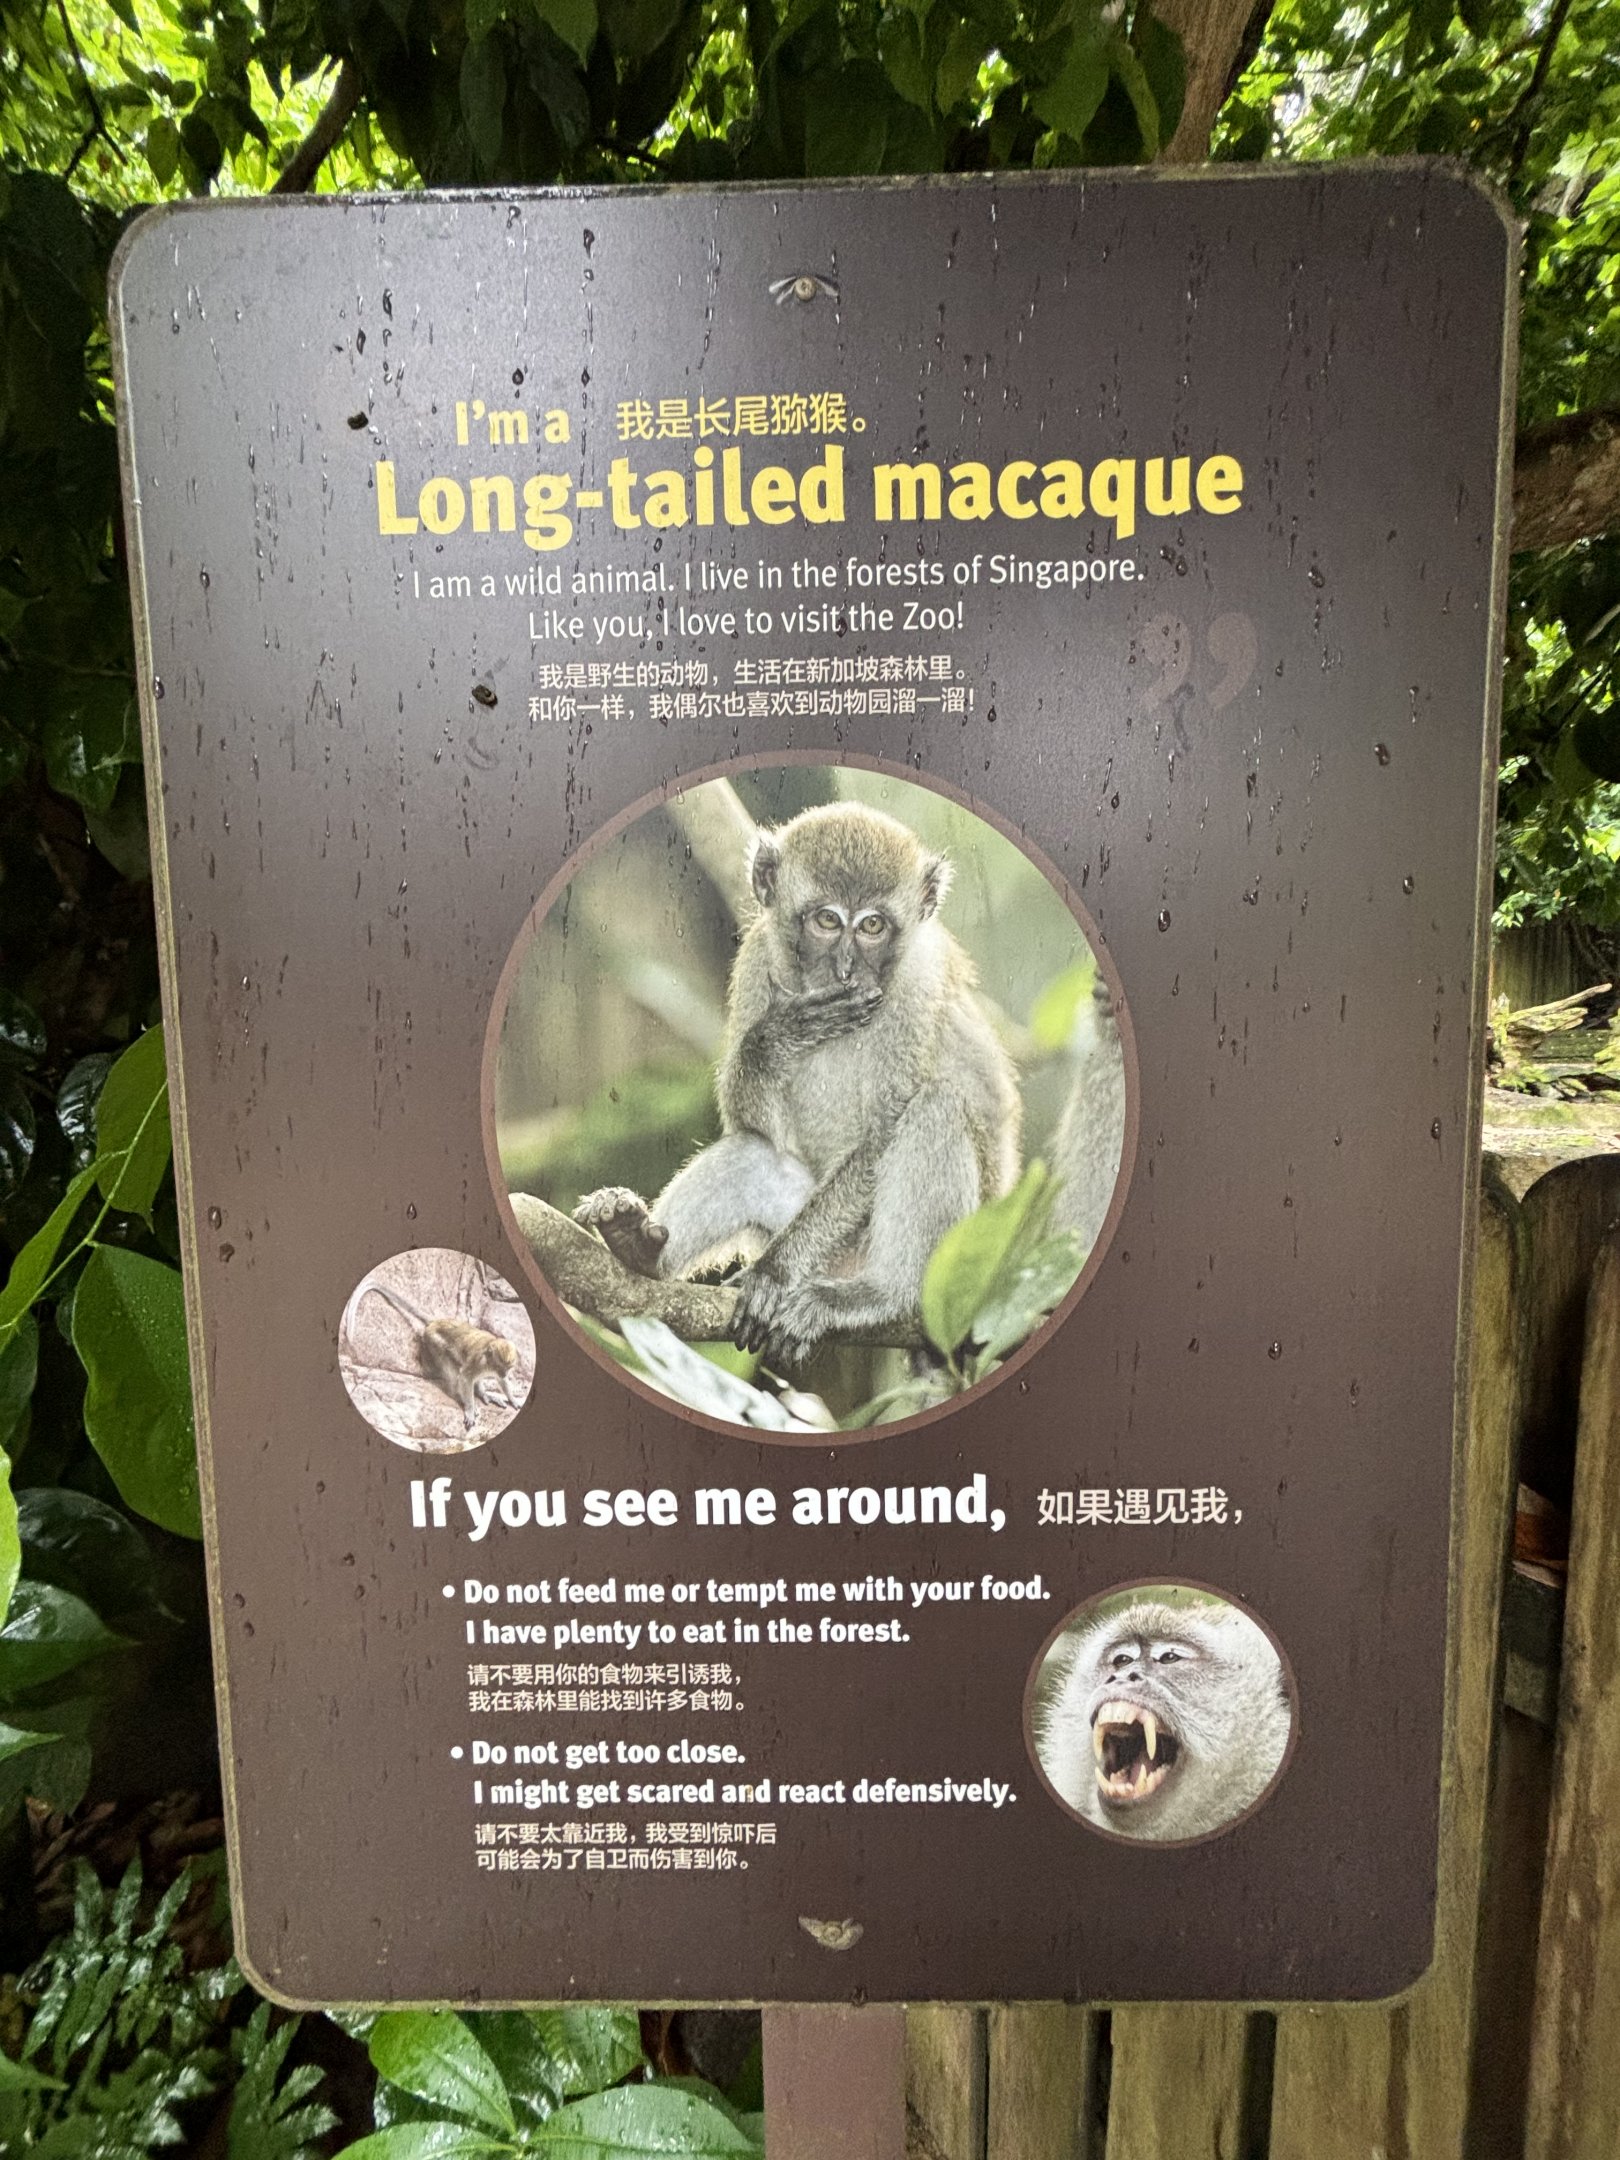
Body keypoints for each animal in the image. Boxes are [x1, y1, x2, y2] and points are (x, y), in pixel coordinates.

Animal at [348, 1281, 522, 1432]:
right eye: (499, 1366)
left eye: (508, 1368)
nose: (504, 1372)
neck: (488, 1357)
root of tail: (436, 1322)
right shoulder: (477, 1361)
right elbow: (465, 1377)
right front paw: (470, 1408)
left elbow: (499, 1381)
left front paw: (512, 1399)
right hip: (434, 1341)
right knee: (452, 1367)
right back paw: (464, 1398)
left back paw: (484, 1395)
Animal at [572, 802, 1021, 1366]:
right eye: (826, 920)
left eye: (873, 926)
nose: (846, 968)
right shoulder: (758, 956)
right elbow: (749, 1122)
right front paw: (778, 1036)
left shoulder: (918, 985)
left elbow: (881, 1136)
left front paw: (773, 1272)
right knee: (752, 1152)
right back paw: (639, 1250)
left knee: (936, 1106)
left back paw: (887, 1296)